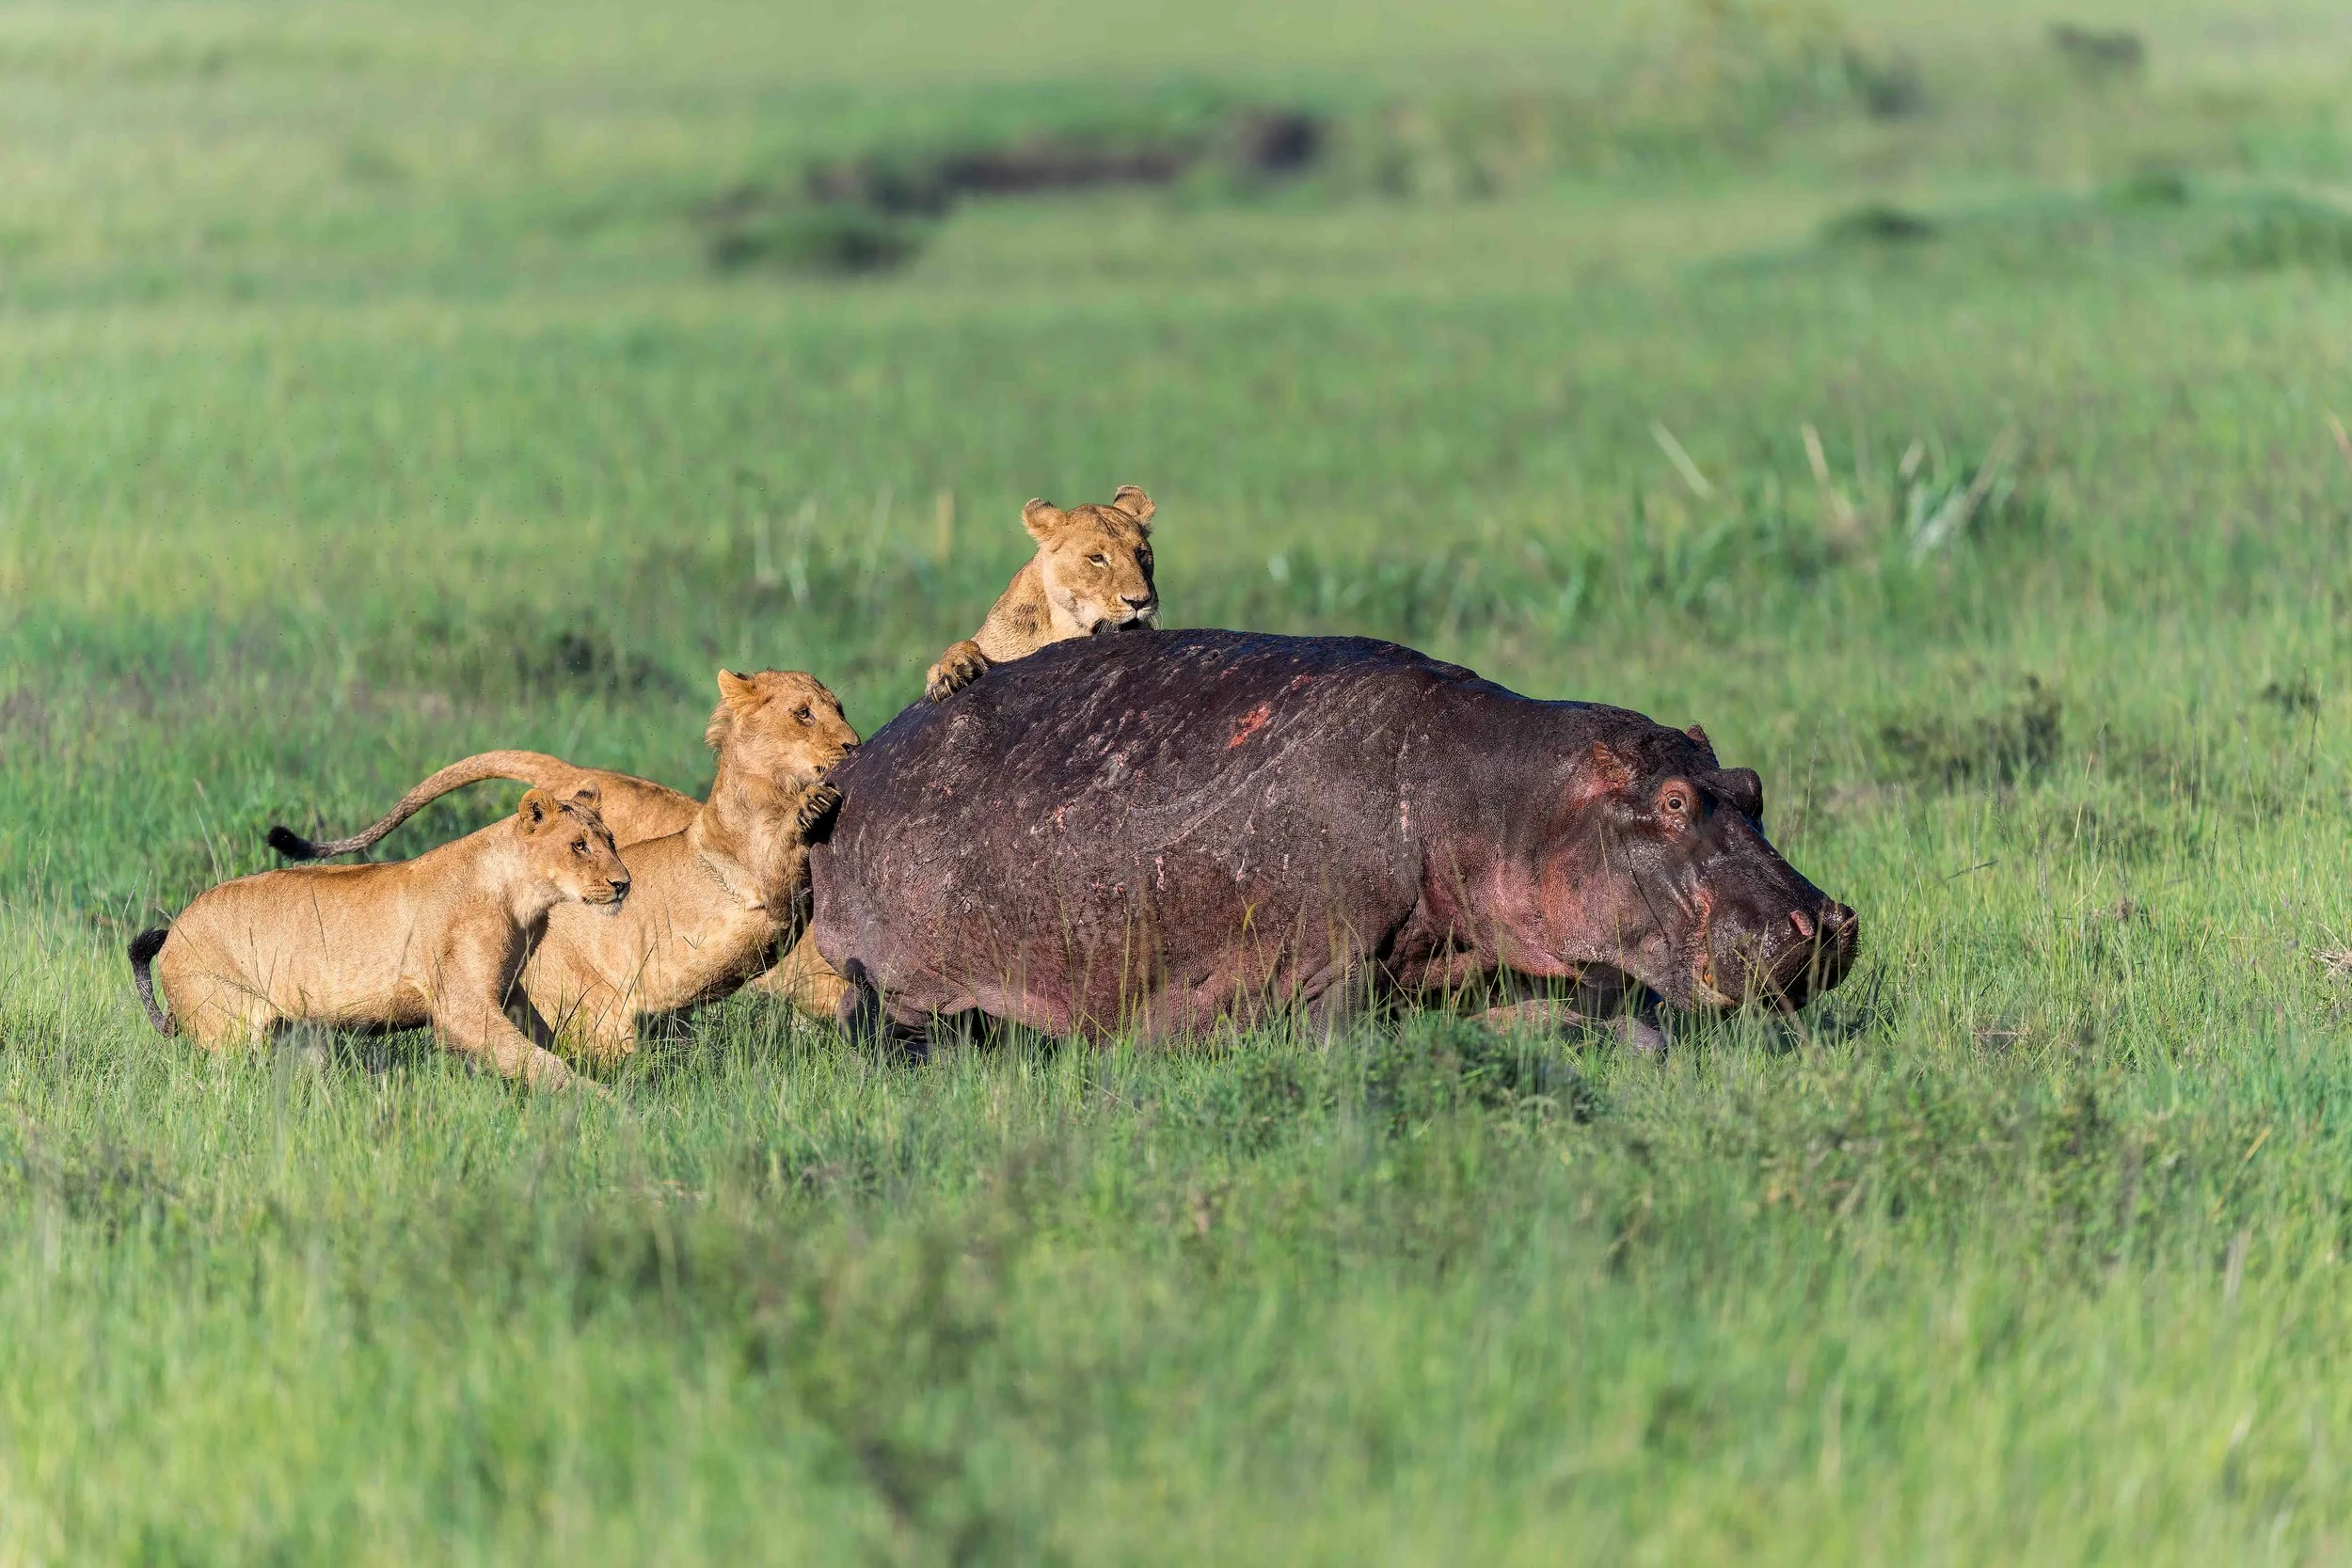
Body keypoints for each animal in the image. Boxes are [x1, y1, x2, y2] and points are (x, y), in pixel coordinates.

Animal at [128, 786, 627, 1090]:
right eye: (579, 845)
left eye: (610, 839)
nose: (624, 884)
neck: (524, 900)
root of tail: (175, 929)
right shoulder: (462, 1009)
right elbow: (537, 1061)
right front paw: (603, 1103)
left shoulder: (507, 991)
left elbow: (544, 1038)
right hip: (230, 1032)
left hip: (301, 1036)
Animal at [508, 669, 857, 1061]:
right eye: (803, 713)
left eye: (839, 709)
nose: (854, 744)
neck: (774, 789)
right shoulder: (768, 889)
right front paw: (813, 802)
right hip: (598, 1015)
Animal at [810, 630, 1856, 1042]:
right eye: (1674, 802)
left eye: (1751, 786)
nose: (1826, 920)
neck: (1501, 793)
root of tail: (856, 768)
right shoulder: (1331, 958)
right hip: (901, 977)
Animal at [923, 485, 1158, 702]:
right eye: (1097, 558)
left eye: (1141, 553)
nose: (1140, 601)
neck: (1067, 626)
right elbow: (963, 645)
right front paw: (949, 671)